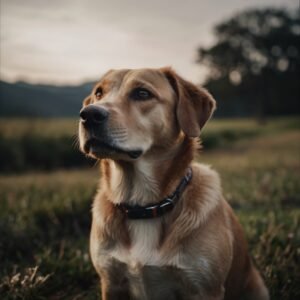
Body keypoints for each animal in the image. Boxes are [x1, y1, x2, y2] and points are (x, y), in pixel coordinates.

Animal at [78, 67, 270, 300]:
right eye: (99, 93)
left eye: (142, 93)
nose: (88, 114)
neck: (144, 206)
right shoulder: (111, 283)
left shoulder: (205, 288)